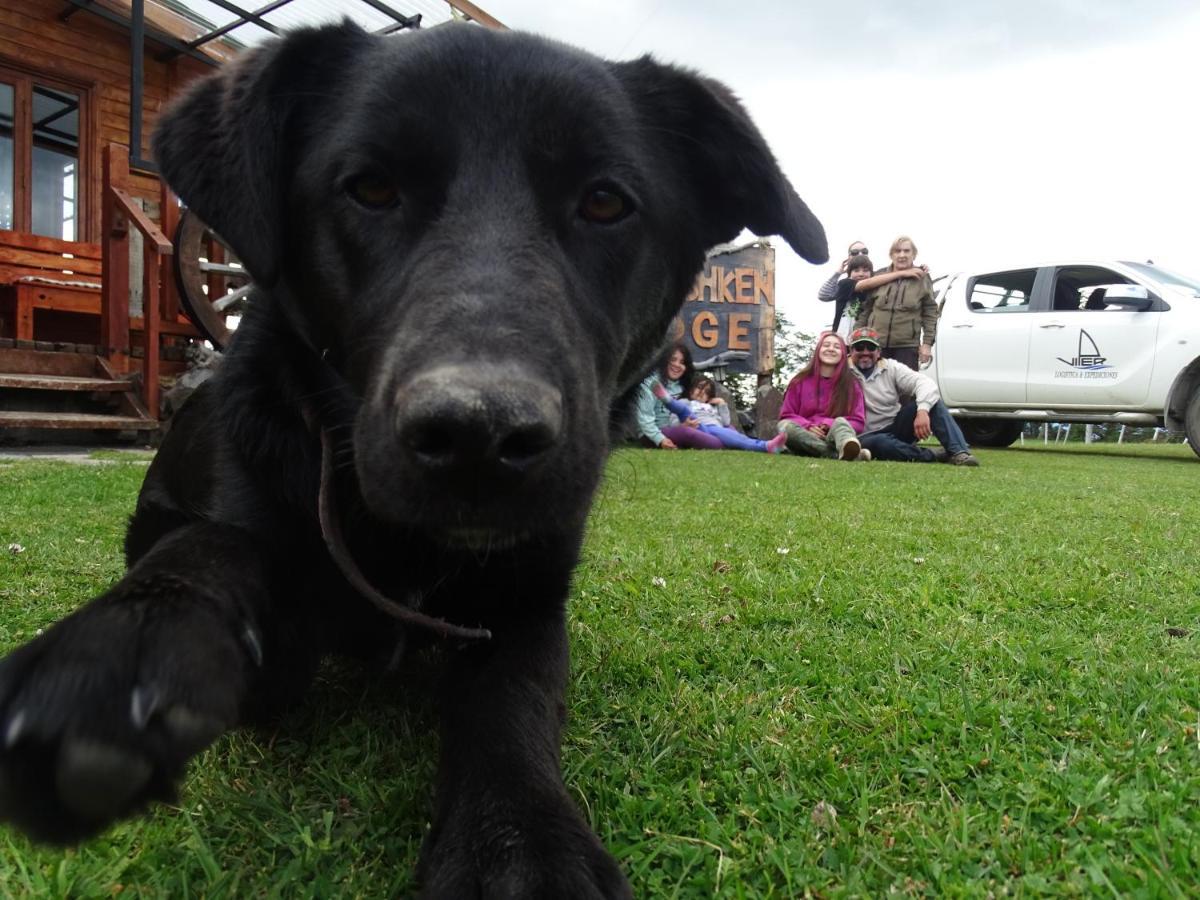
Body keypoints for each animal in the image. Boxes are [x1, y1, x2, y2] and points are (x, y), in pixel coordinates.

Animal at [0, 22, 825, 900]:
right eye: (370, 188)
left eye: (606, 202)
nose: (478, 436)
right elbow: (218, 549)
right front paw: (122, 651)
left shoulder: (527, 605)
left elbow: (509, 708)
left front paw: (517, 845)